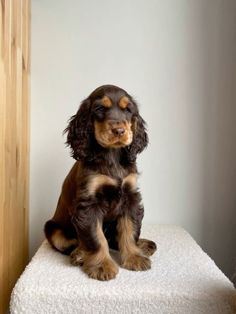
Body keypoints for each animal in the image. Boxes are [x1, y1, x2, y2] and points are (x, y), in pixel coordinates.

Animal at [45, 84, 158, 280]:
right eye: (99, 109)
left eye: (128, 110)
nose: (119, 131)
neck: (112, 155)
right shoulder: (88, 204)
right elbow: (96, 237)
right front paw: (102, 266)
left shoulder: (130, 196)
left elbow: (129, 229)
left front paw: (134, 257)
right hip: (53, 229)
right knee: (71, 244)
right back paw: (79, 254)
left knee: (115, 238)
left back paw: (143, 245)